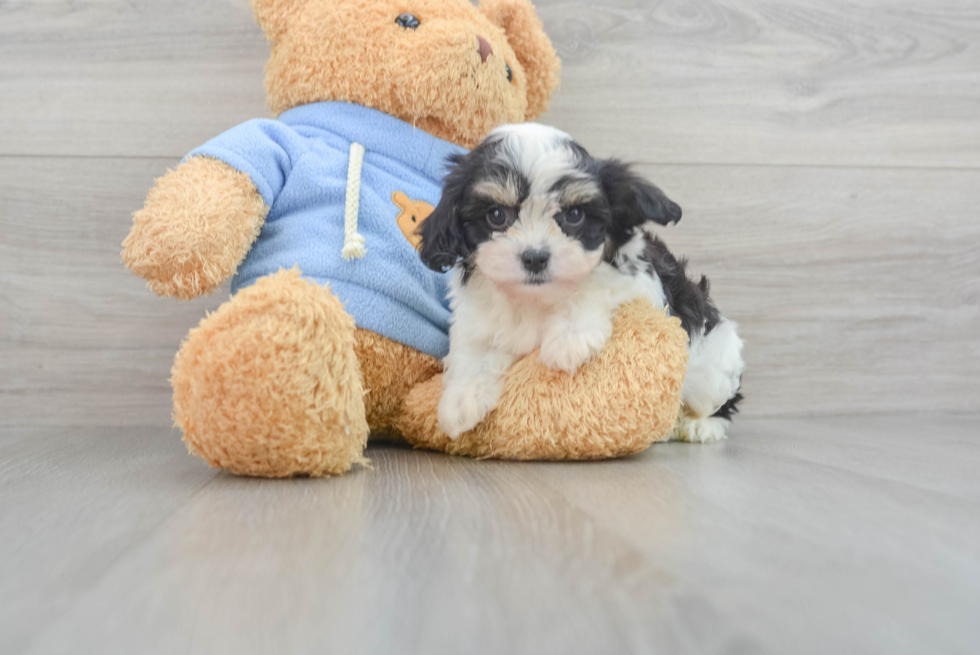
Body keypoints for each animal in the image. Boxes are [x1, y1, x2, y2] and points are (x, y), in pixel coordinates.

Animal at [418, 125, 748, 444]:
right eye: (496, 215)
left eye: (574, 215)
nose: (535, 257)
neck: (535, 299)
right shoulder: (476, 319)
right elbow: (473, 350)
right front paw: (461, 399)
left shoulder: (638, 281)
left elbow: (595, 284)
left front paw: (569, 337)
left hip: (713, 364)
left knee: (717, 398)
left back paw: (700, 426)